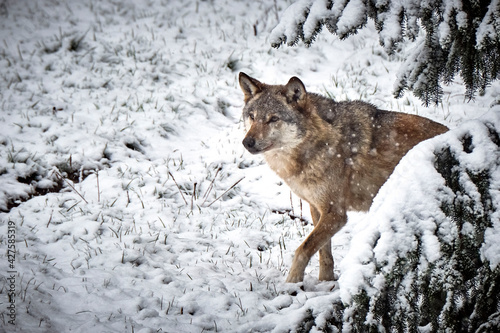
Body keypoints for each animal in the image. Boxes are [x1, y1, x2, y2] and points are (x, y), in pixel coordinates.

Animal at [239, 72, 450, 282]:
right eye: (252, 116)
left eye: (273, 119)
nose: (247, 142)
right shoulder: (316, 208)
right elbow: (324, 253)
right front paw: (326, 282)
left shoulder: (336, 213)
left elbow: (302, 250)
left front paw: (292, 284)